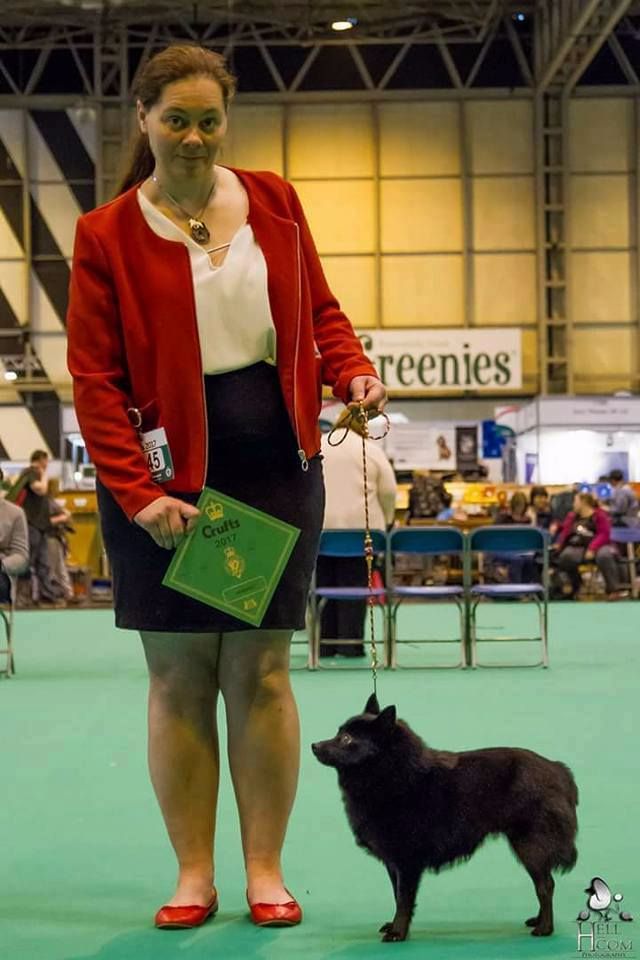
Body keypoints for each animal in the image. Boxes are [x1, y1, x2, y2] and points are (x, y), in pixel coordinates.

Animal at [311, 694, 578, 942]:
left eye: (347, 739)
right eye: (338, 733)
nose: (314, 745)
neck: (393, 775)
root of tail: (558, 769)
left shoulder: (407, 861)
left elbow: (404, 899)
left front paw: (398, 932)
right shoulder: (393, 862)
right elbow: (396, 896)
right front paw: (394, 925)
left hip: (529, 845)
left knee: (545, 886)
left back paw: (545, 928)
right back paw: (538, 919)